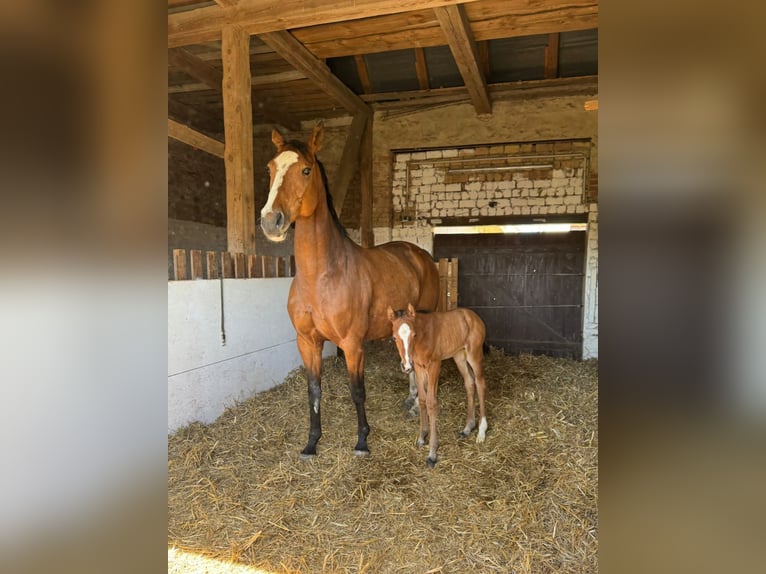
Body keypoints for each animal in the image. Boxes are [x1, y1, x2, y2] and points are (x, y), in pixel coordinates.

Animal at [260, 123, 440, 458]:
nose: (270, 221)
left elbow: (357, 391)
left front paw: (362, 441)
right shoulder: (307, 342)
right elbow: (314, 390)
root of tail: (418, 254)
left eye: (305, 170)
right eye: (270, 168)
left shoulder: (352, 344)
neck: (320, 277)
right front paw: (312, 443)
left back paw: (414, 404)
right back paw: (411, 400)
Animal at [387, 303, 488, 467]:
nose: (406, 366)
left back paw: (481, 431)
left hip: (474, 354)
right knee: (469, 383)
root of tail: (473, 316)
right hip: (459, 356)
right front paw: (422, 437)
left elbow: (431, 403)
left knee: (480, 384)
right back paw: (468, 427)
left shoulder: (434, 365)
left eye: (414, 335)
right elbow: (422, 399)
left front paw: (432, 453)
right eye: (394, 337)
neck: (422, 338)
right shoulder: (419, 367)